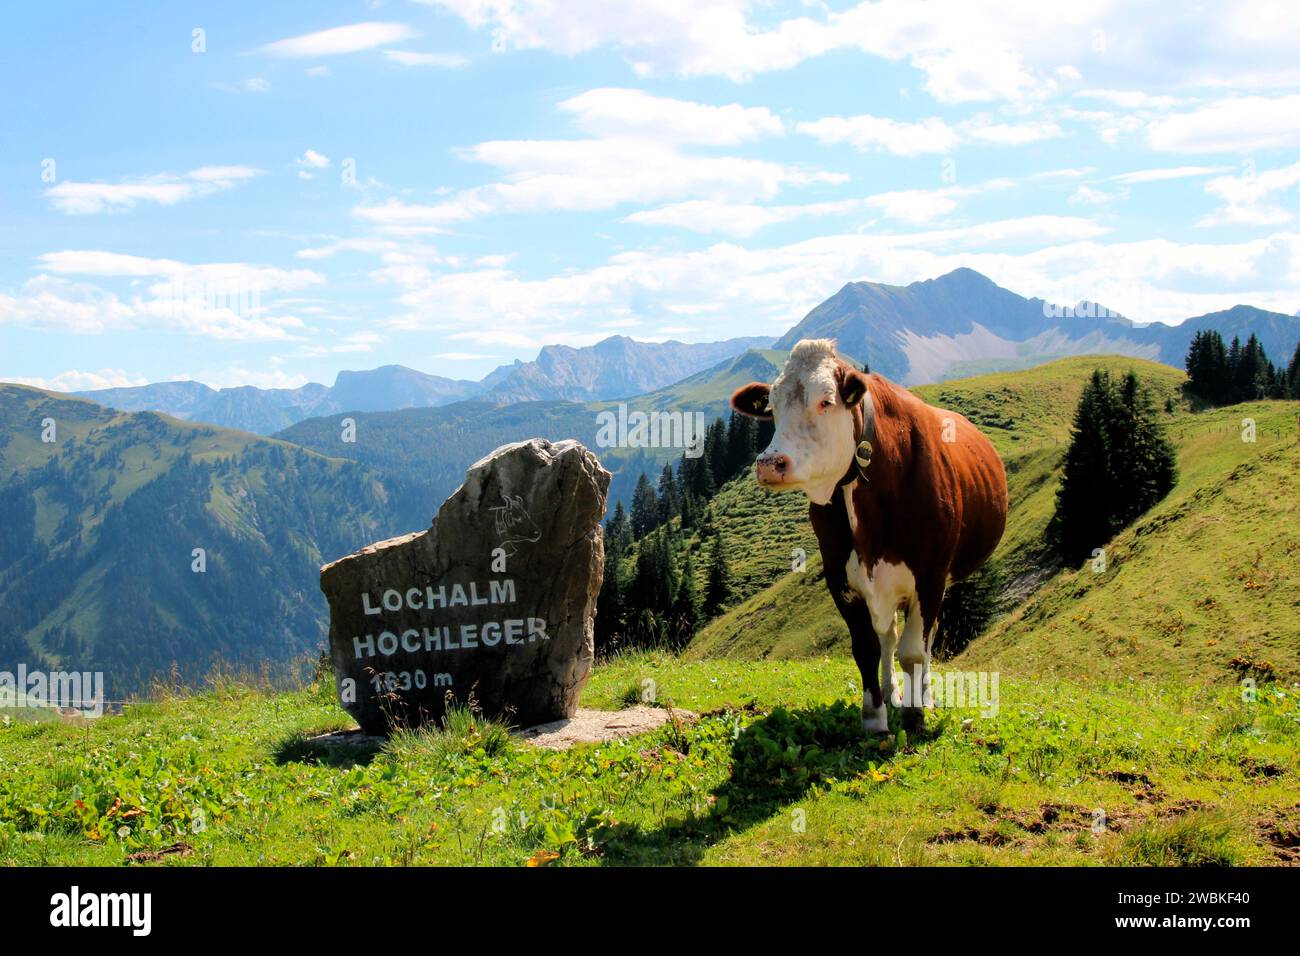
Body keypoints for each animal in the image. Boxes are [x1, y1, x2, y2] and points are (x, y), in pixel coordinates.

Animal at [733, 340, 1003, 738]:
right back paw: (892, 692)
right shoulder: (840, 577)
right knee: (887, 636)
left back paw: (923, 695)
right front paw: (875, 716)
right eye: (773, 406)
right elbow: (866, 648)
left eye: (826, 400)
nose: (770, 464)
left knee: (923, 638)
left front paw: (915, 714)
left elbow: (914, 651)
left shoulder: (931, 575)